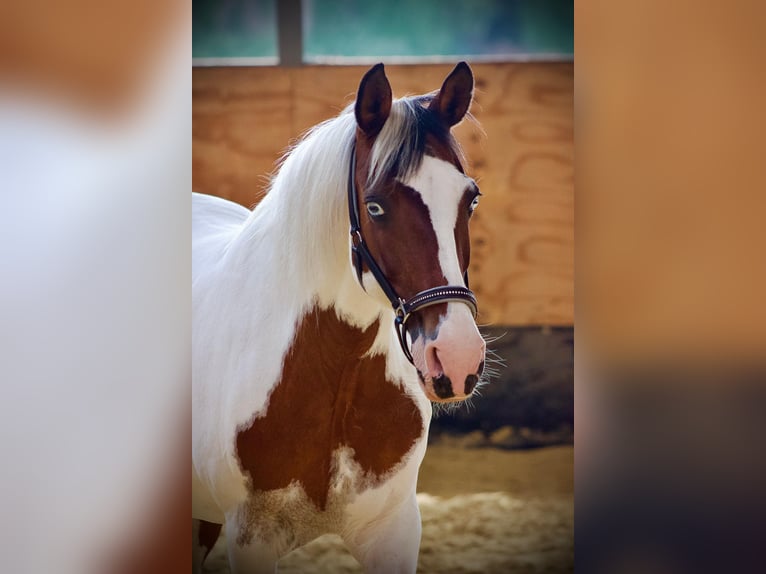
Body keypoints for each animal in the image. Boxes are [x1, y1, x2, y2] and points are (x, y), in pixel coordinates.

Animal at [192, 62, 487, 573]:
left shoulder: (393, 530)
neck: (332, 370)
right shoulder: (251, 537)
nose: (456, 358)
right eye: (375, 206)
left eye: (470, 199)